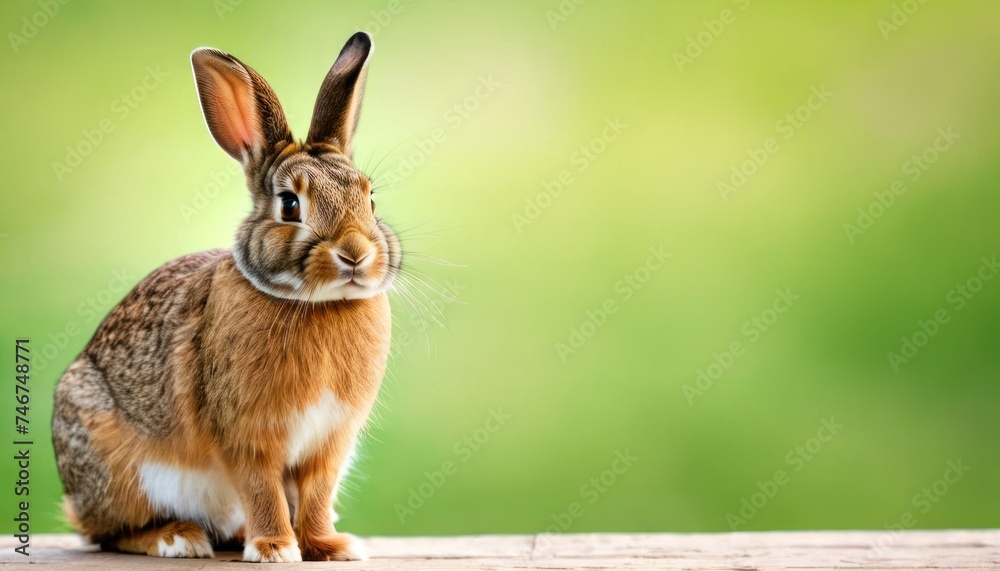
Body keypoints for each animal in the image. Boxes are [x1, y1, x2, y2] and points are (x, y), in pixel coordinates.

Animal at [51, 31, 400, 562]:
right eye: (290, 204)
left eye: (371, 198)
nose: (356, 255)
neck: (314, 303)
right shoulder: (245, 435)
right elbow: (261, 488)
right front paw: (275, 548)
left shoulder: (330, 442)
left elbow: (317, 495)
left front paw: (330, 547)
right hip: (117, 468)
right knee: (109, 532)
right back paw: (178, 538)